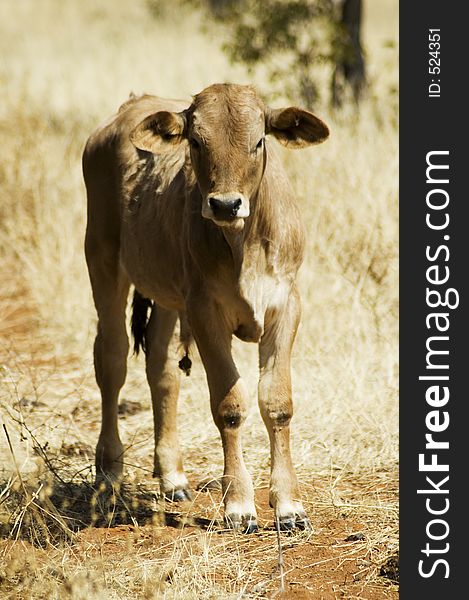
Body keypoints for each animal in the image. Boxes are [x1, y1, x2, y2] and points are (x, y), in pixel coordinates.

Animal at [82, 82, 328, 532]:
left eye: (259, 141)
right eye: (196, 142)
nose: (225, 205)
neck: (243, 242)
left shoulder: (285, 305)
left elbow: (278, 403)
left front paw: (289, 506)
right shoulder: (204, 311)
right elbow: (229, 407)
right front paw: (240, 505)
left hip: (165, 295)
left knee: (161, 368)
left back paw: (173, 476)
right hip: (103, 262)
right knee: (112, 361)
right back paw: (108, 475)